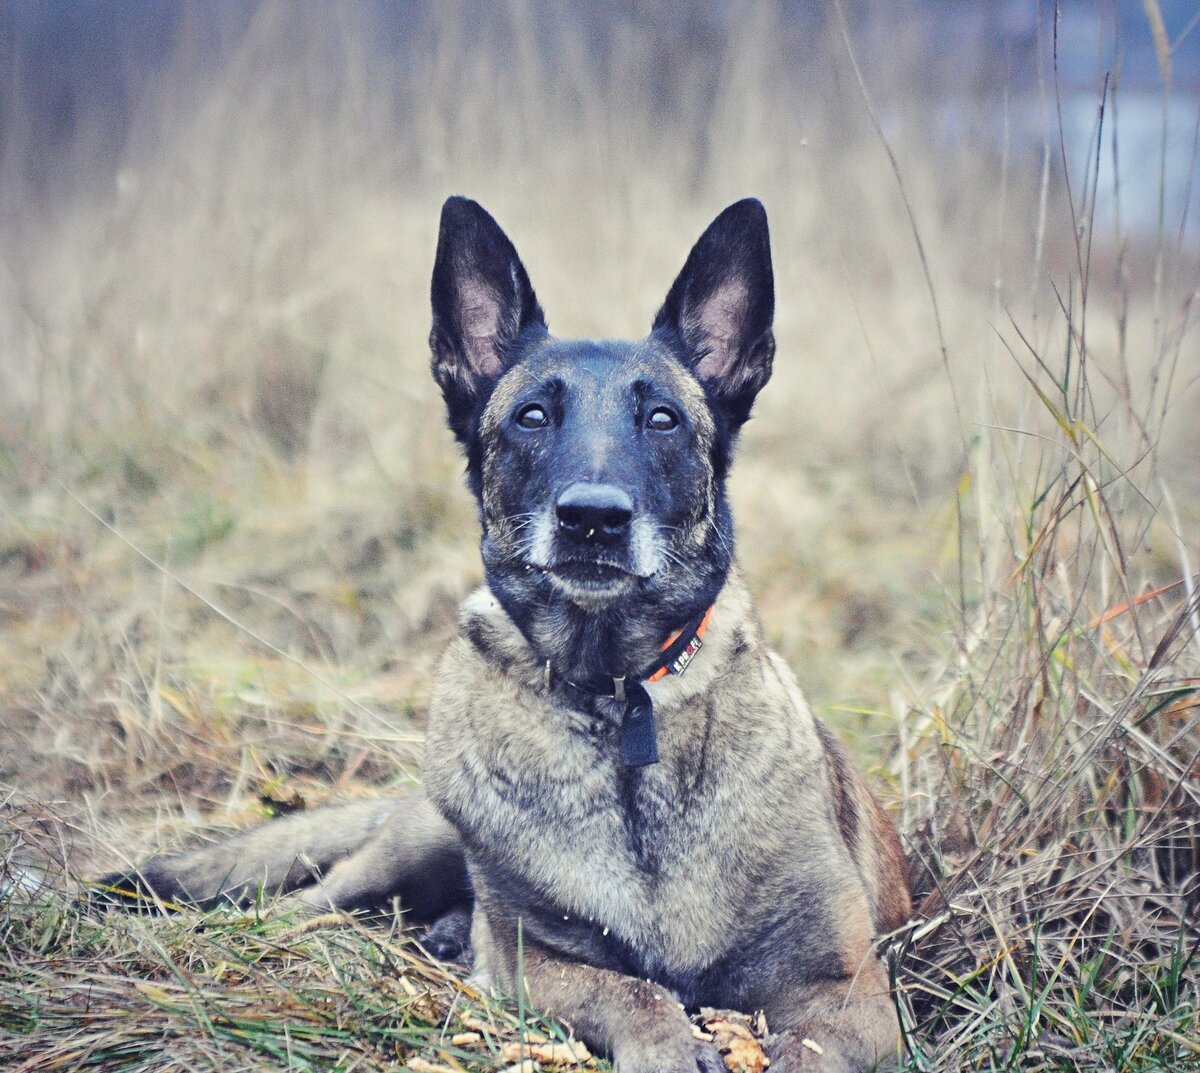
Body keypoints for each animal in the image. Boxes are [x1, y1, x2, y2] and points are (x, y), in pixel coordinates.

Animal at [100, 199, 907, 1073]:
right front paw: (665, 1044)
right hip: (401, 854)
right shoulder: (537, 961)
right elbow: (635, 991)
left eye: (662, 418)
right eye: (532, 415)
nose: (592, 518)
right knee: (303, 903)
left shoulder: (848, 989)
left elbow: (806, 1046)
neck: (617, 705)